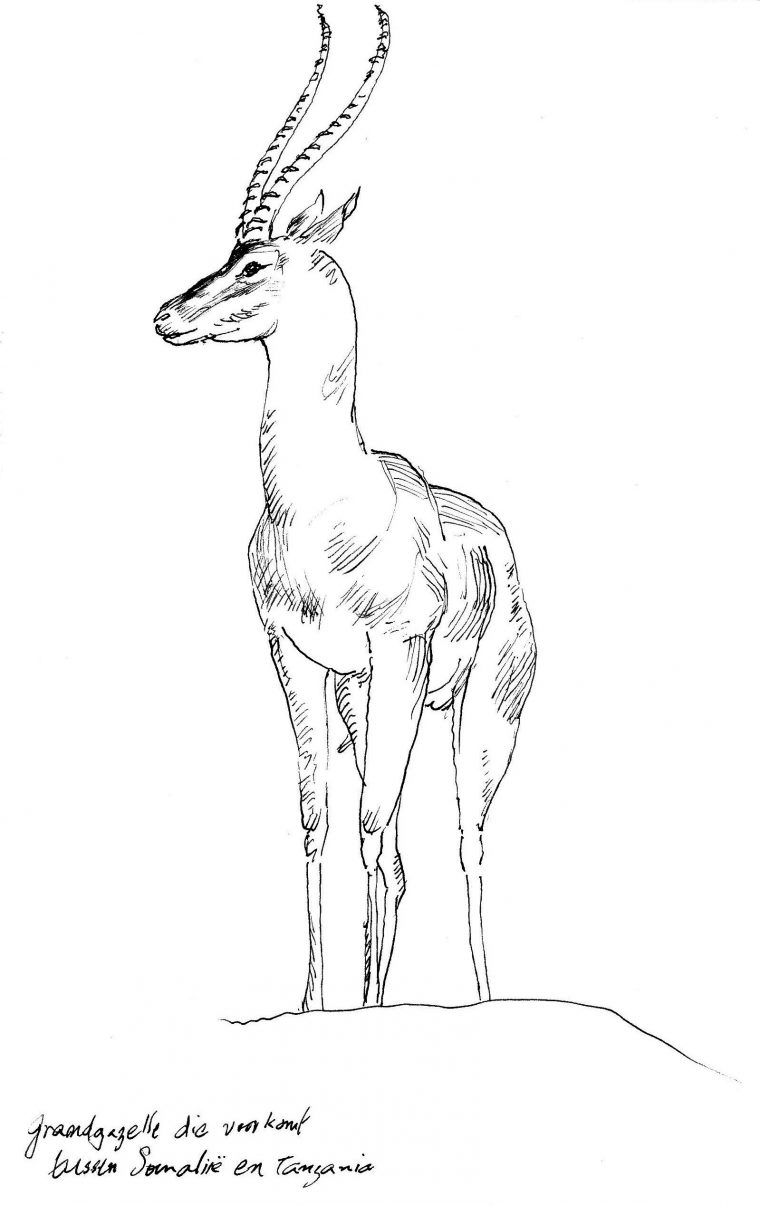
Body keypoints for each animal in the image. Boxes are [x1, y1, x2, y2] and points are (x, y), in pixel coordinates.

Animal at [155, 5, 536, 1011]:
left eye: (254, 258)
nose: (167, 313)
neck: (321, 510)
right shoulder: (297, 656)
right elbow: (318, 817)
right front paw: (312, 1002)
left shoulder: (396, 652)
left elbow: (370, 824)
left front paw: (362, 1008)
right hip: (366, 699)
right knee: (401, 851)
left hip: (478, 709)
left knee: (466, 840)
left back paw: (481, 999)